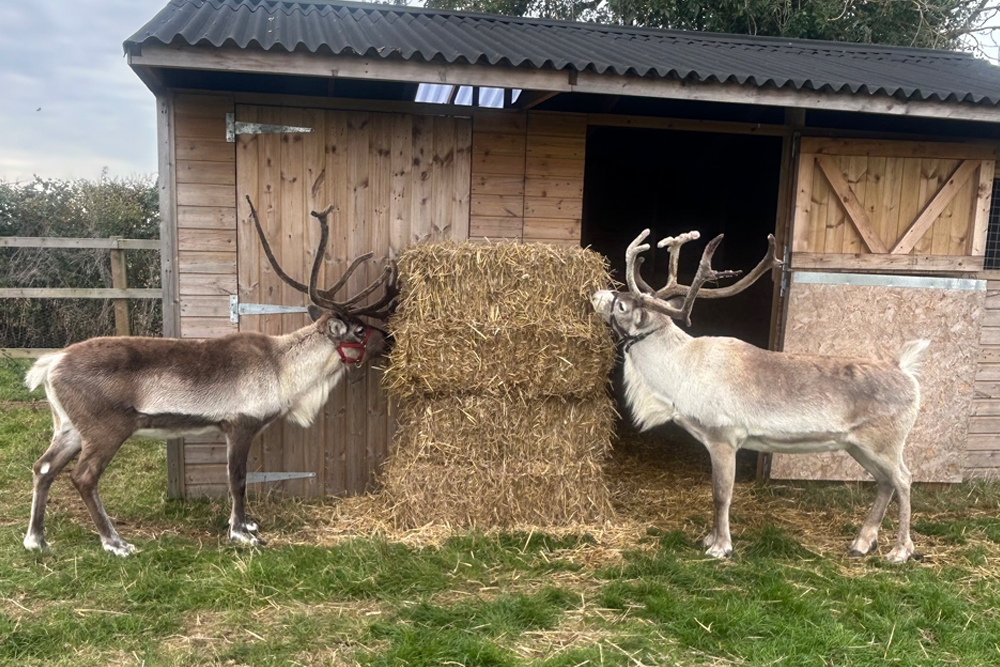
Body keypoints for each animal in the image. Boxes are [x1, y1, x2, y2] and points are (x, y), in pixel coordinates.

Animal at [23, 197, 396, 556]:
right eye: (360, 330)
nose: (390, 339)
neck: (283, 368)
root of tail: (52, 363)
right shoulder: (240, 424)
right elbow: (238, 480)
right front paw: (242, 533)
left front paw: (245, 525)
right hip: (106, 430)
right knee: (83, 477)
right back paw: (115, 543)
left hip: (68, 427)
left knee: (43, 467)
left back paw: (36, 540)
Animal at [592, 229, 928, 563]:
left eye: (622, 306)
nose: (596, 294)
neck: (677, 372)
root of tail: (906, 371)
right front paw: (710, 538)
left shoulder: (724, 437)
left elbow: (721, 495)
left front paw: (720, 546)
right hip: (858, 446)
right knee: (885, 482)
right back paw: (862, 542)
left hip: (885, 444)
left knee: (904, 479)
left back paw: (900, 550)